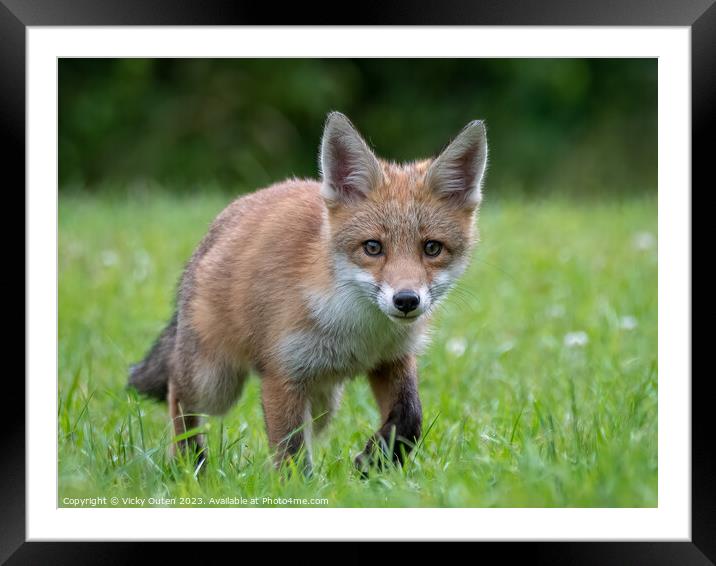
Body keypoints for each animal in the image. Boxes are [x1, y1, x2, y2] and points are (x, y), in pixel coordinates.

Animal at [127, 112, 486, 474]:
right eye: (372, 247)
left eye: (432, 248)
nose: (407, 300)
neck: (359, 332)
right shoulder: (282, 373)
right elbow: (291, 454)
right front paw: (303, 484)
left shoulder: (393, 359)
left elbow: (410, 417)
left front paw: (375, 462)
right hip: (215, 382)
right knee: (177, 393)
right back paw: (189, 463)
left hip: (324, 401)